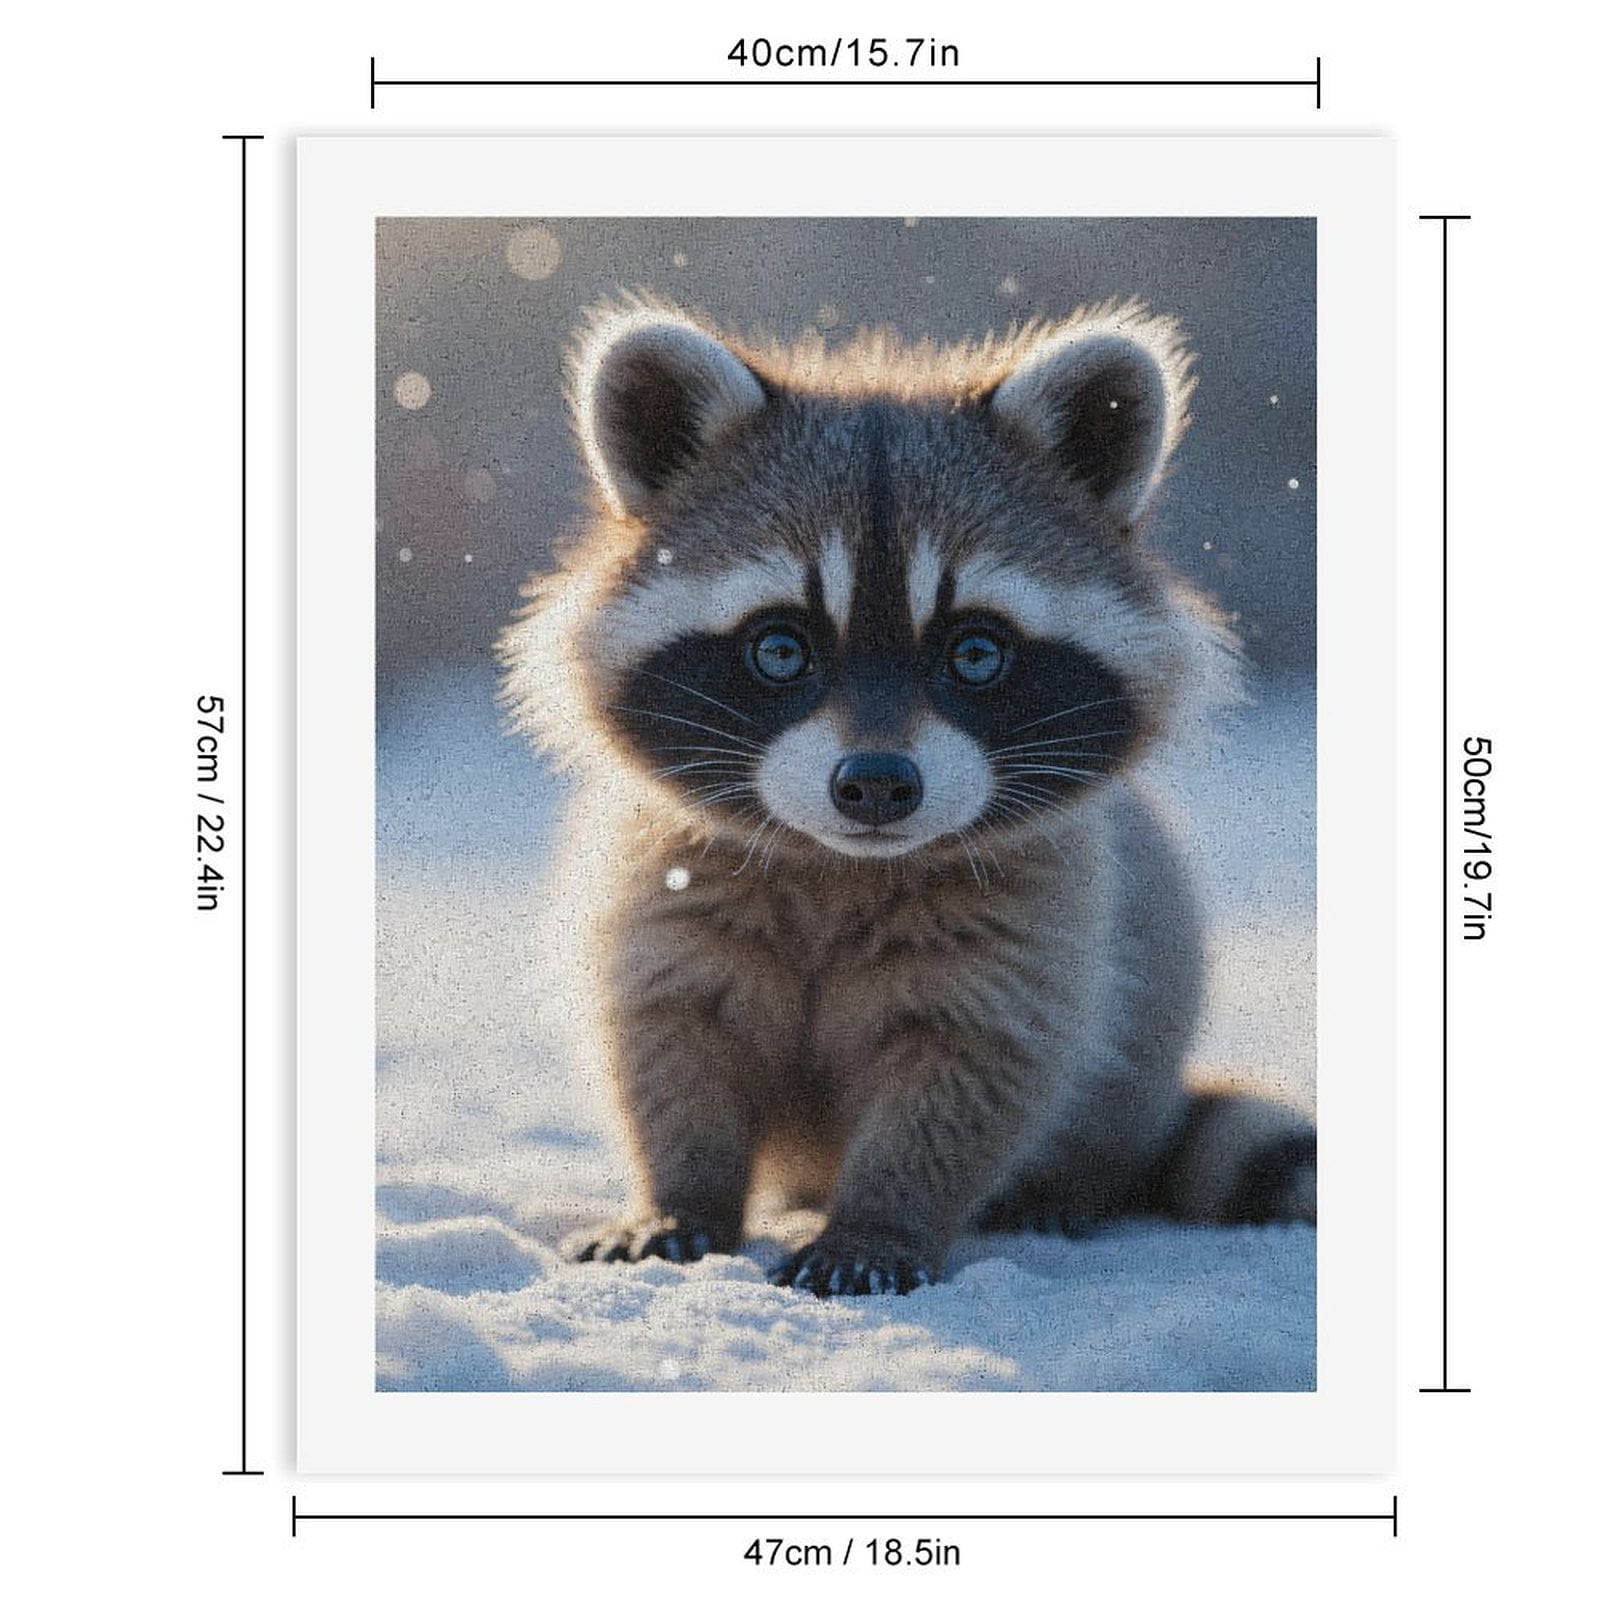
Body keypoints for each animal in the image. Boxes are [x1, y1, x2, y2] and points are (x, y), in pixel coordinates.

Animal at [499, 295, 1315, 1297]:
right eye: (780, 648)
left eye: (976, 651)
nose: (877, 785)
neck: (836, 862)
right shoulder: (661, 884)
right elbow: (669, 1040)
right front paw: (680, 1193)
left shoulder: (1037, 918)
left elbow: (971, 1074)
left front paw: (880, 1221)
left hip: (1150, 986)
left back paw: (1060, 1190)